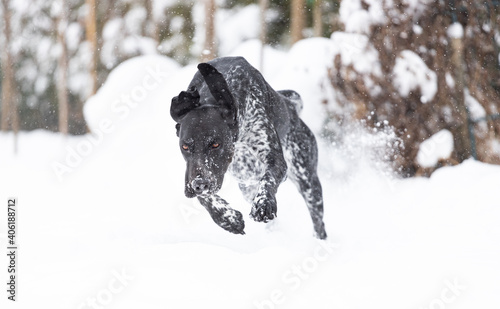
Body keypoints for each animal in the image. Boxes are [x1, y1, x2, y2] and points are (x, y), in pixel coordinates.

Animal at [171, 56, 328, 238]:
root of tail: (291, 107)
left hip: (308, 182)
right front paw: (227, 218)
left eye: (216, 144)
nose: (199, 184)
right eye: (185, 147)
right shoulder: (194, 174)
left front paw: (263, 204)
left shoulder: (275, 159)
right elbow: (204, 197)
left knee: (319, 223)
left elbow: (268, 179)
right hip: (248, 186)